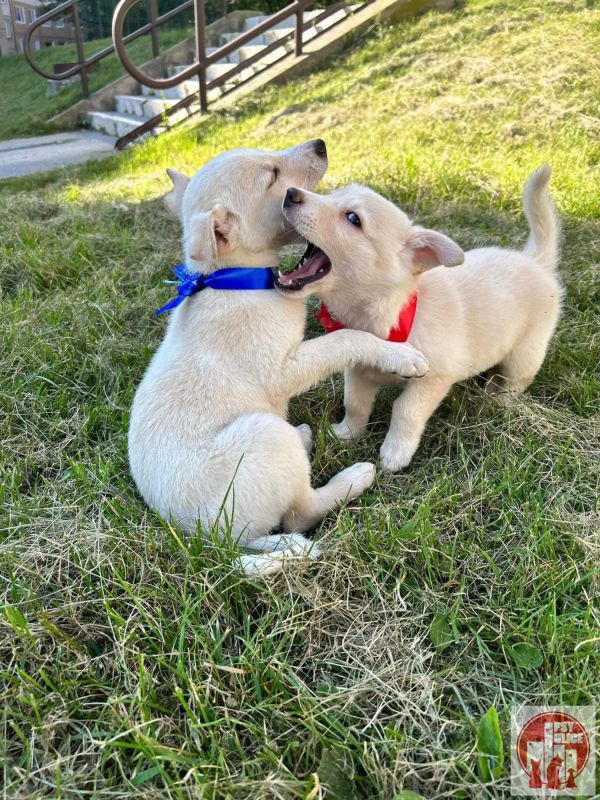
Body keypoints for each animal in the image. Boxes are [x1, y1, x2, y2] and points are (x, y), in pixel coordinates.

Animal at [128, 141, 429, 575]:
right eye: (271, 176)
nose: (320, 144)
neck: (235, 280)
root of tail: (208, 542)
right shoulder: (283, 369)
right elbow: (345, 339)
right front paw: (400, 355)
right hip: (264, 435)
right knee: (302, 513)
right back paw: (353, 477)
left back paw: (302, 436)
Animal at [276, 166, 561, 471]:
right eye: (332, 194)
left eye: (353, 218)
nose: (290, 193)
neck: (395, 312)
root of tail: (535, 260)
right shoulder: (359, 372)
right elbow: (355, 404)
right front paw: (346, 433)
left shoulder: (433, 379)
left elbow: (406, 411)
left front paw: (395, 452)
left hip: (525, 354)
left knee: (516, 381)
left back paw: (499, 399)